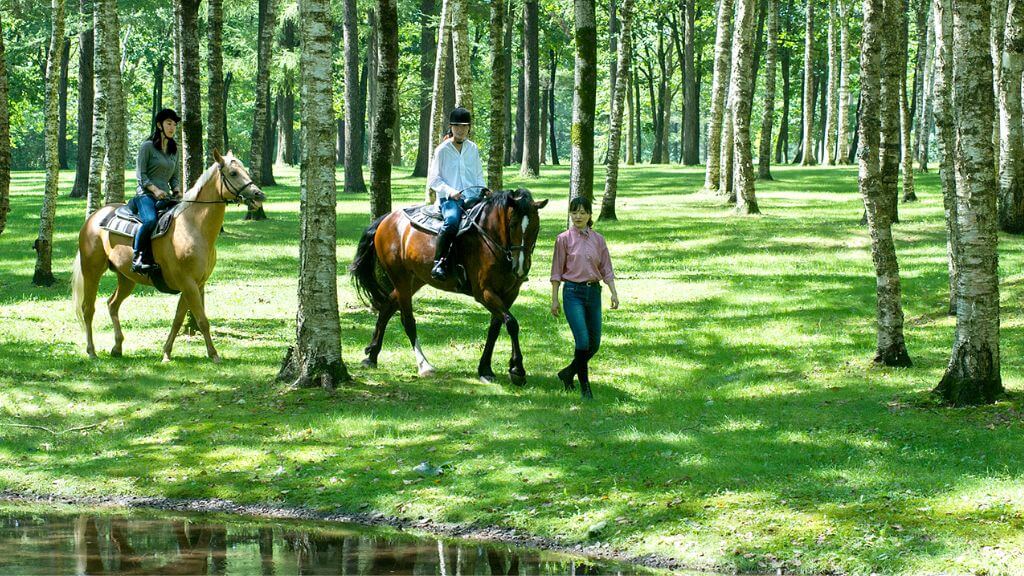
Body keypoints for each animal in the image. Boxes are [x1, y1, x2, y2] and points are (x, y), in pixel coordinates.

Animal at [71, 150, 264, 360]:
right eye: (233, 173)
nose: (259, 194)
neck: (194, 227)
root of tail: (93, 218)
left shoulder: (195, 284)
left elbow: (179, 319)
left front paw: (166, 353)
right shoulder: (188, 283)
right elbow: (202, 320)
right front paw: (214, 354)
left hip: (126, 277)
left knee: (112, 304)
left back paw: (117, 347)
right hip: (92, 271)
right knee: (88, 308)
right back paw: (91, 351)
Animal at [348, 190, 548, 383]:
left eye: (536, 227)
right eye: (512, 224)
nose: (520, 267)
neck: (490, 238)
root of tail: (388, 218)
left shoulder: (509, 293)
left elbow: (496, 328)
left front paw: (485, 369)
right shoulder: (484, 292)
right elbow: (512, 323)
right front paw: (517, 369)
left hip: (415, 279)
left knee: (387, 307)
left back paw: (372, 356)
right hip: (401, 278)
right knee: (407, 321)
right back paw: (424, 365)